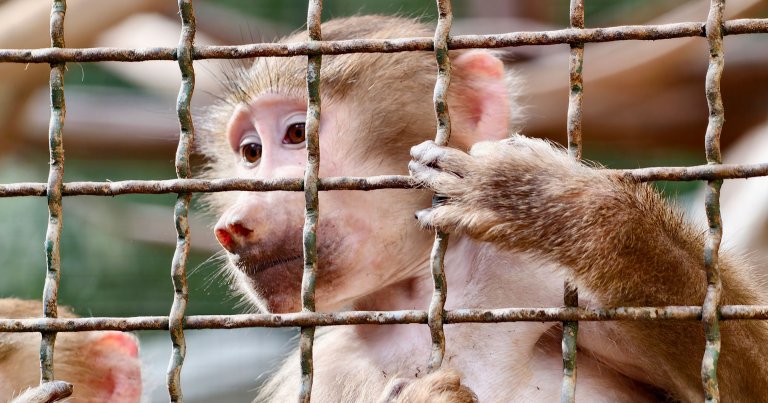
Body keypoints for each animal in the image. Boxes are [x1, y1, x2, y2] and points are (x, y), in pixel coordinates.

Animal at [199, 15, 768, 402]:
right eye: (250, 153)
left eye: (297, 134)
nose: (232, 226)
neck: (415, 294)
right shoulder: (331, 367)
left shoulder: (539, 281)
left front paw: (548, 204)